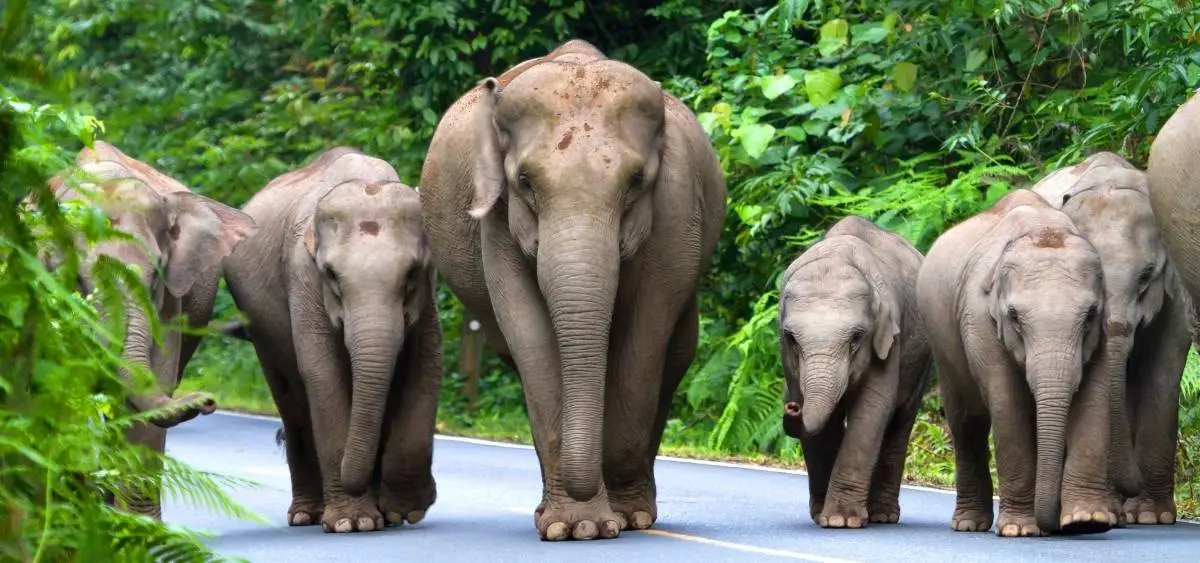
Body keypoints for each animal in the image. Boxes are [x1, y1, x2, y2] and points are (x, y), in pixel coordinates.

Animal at [43, 141, 258, 518]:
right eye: (80, 278)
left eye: (156, 271)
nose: (208, 400)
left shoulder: (171, 300)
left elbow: (151, 387)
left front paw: (138, 525)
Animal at [222, 147, 443, 534]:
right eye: (331, 274)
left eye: (412, 273)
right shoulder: (302, 278)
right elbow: (323, 374)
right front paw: (353, 523)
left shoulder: (427, 296)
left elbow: (426, 365)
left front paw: (405, 511)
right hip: (260, 330)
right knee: (292, 403)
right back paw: (306, 515)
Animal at [418, 38, 726, 541]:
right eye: (525, 181)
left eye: (636, 181)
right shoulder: (497, 224)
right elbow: (530, 335)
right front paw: (576, 526)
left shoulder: (677, 210)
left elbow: (645, 334)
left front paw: (623, 519)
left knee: (676, 353)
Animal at [778, 215, 932, 529]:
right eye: (790, 338)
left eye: (857, 337)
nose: (791, 406)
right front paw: (824, 517)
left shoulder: (890, 339)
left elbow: (873, 409)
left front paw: (841, 520)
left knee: (900, 422)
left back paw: (883, 516)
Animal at [916, 189, 1114, 537]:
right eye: (1014, 317)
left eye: (1090, 315)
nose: (1056, 527)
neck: (1044, 227)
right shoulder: (979, 321)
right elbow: (1008, 405)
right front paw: (1020, 530)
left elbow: (1094, 399)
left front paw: (1086, 522)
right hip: (942, 345)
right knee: (966, 422)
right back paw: (969, 524)